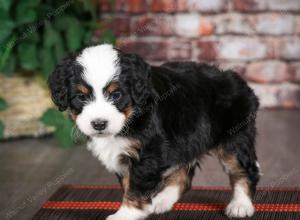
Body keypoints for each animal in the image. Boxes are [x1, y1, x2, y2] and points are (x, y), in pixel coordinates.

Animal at [48, 43, 260, 219]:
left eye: (116, 95)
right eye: (81, 97)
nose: (99, 124)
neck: (130, 117)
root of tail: (239, 81)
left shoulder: (148, 152)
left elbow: (135, 187)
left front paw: (125, 215)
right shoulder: (122, 154)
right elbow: (128, 184)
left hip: (235, 138)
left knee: (245, 169)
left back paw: (240, 205)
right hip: (185, 140)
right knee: (184, 175)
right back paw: (162, 200)